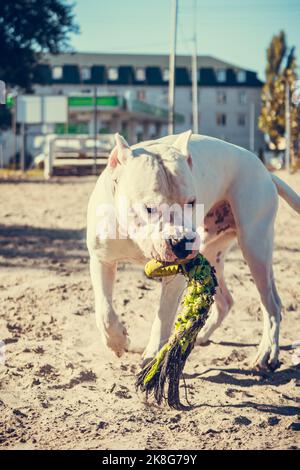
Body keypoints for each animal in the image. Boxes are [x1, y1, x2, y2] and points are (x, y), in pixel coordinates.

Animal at [85, 131, 298, 370]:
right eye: (149, 208)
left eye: (192, 202)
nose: (182, 242)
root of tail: (264, 170)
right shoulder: (101, 260)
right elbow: (104, 310)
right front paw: (117, 341)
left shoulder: (175, 277)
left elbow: (164, 315)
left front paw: (153, 355)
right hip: (213, 252)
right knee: (226, 301)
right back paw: (203, 336)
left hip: (255, 247)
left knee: (271, 305)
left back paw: (266, 353)